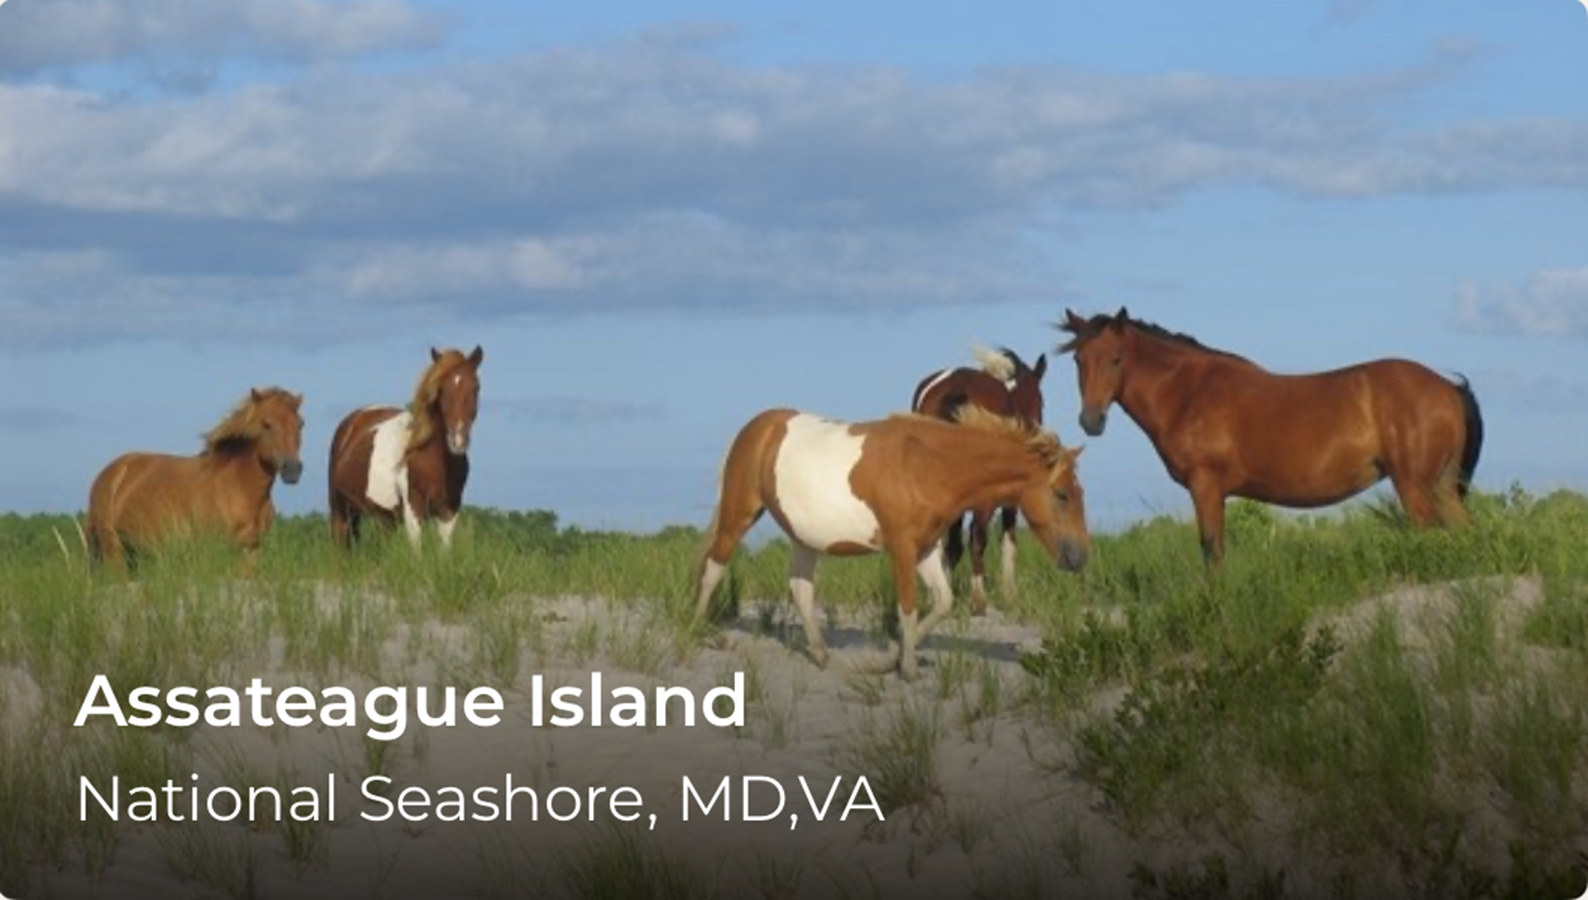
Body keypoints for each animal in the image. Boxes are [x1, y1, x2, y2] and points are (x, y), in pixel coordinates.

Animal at [86, 387, 305, 567]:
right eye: (266, 424)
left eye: (300, 424)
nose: (292, 469)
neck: (237, 489)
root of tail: (111, 471)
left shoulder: (251, 552)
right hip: (114, 551)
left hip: (134, 553)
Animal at [328, 346, 483, 550]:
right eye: (441, 390)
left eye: (476, 388)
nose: (457, 441)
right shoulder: (412, 509)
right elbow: (417, 551)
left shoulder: (448, 512)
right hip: (340, 510)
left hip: (383, 518)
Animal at [694, 405, 1088, 681]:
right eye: (1062, 494)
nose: (1080, 557)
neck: (928, 465)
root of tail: (758, 427)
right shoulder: (902, 548)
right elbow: (908, 607)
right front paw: (908, 669)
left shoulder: (926, 549)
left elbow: (943, 602)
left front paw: (894, 657)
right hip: (738, 515)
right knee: (713, 569)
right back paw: (696, 631)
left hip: (804, 538)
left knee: (801, 590)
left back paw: (821, 654)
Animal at [1056, 307, 1484, 566]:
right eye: (1079, 360)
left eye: (1116, 359)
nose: (1091, 420)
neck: (1189, 392)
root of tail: (1447, 388)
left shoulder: (1205, 486)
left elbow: (1212, 549)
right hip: (1442, 485)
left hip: (1414, 486)